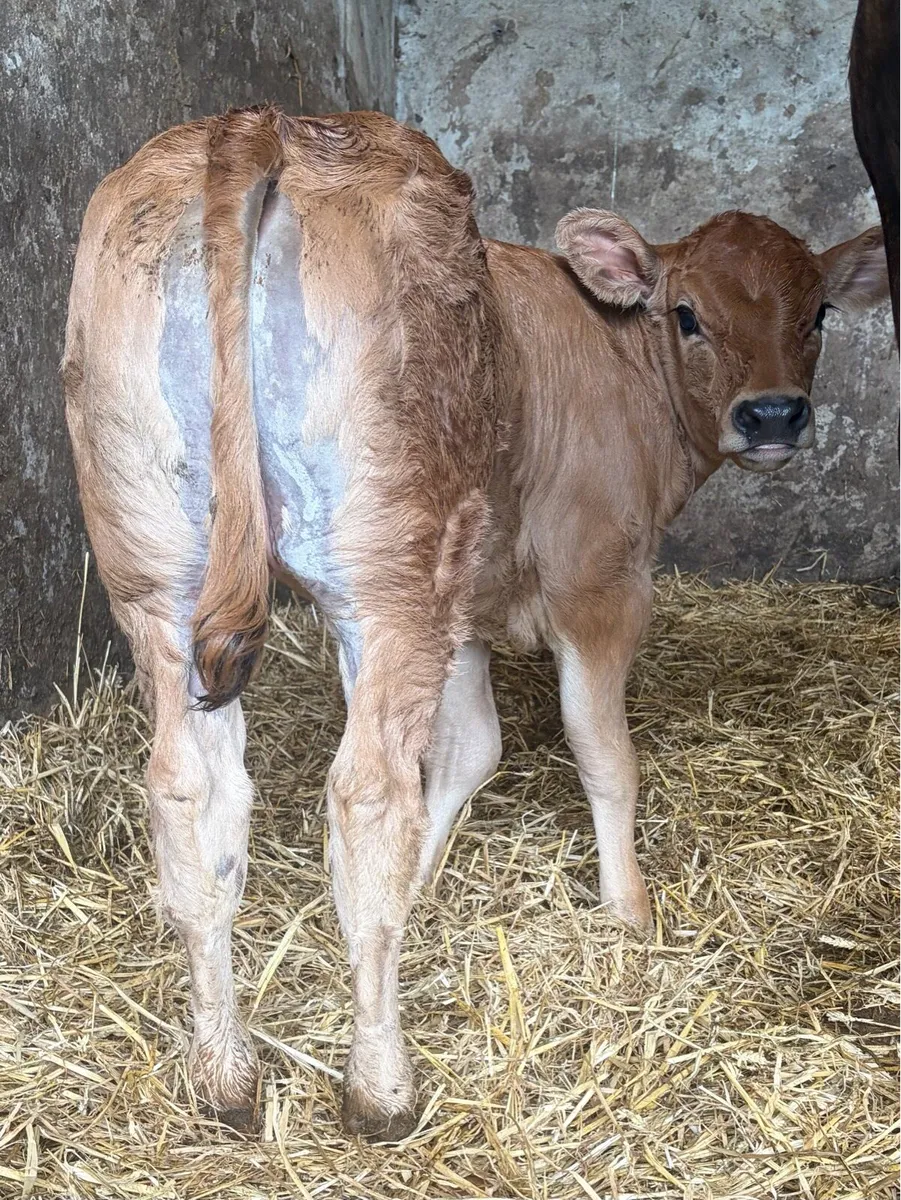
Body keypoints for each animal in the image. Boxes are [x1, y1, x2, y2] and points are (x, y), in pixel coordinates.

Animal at [63, 106, 889, 1140]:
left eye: (817, 314)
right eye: (687, 312)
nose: (773, 415)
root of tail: (261, 125)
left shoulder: (465, 609)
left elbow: (471, 750)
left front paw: (426, 881)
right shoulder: (596, 582)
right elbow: (600, 753)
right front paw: (629, 912)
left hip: (161, 573)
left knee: (191, 794)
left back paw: (225, 1078)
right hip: (387, 579)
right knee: (367, 795)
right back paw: (380, 1088)